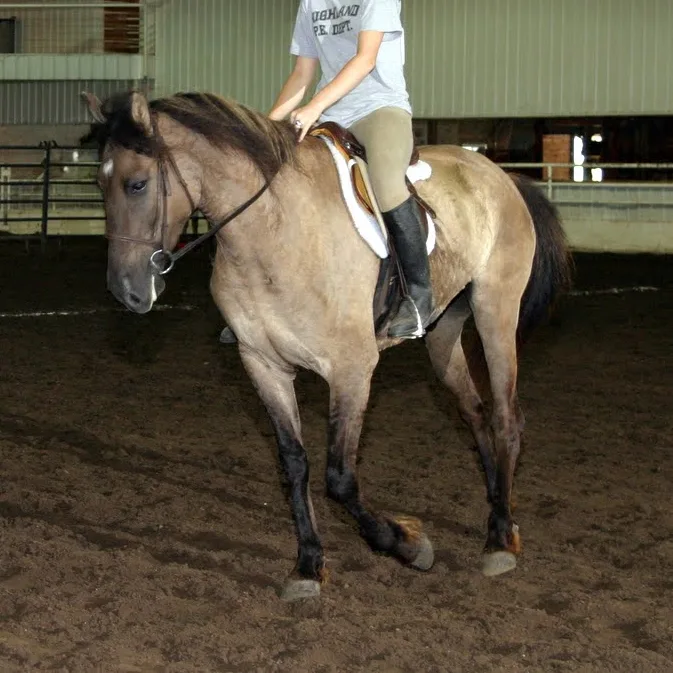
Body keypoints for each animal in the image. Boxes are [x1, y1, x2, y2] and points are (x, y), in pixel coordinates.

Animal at [84, 88, 572, 600]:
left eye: (138, 184)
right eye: (100, 185)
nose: (125, 291)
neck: (274, 232)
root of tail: (500, 174)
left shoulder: (352, 369)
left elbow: (339, 477)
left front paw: (407, 544)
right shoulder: (263, 365)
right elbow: (294, 465)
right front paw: (308, 565)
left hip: (496, 309)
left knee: (506, 417)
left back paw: (500, 539)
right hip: (443, 331)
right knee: (475, 414)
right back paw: (498, 511)